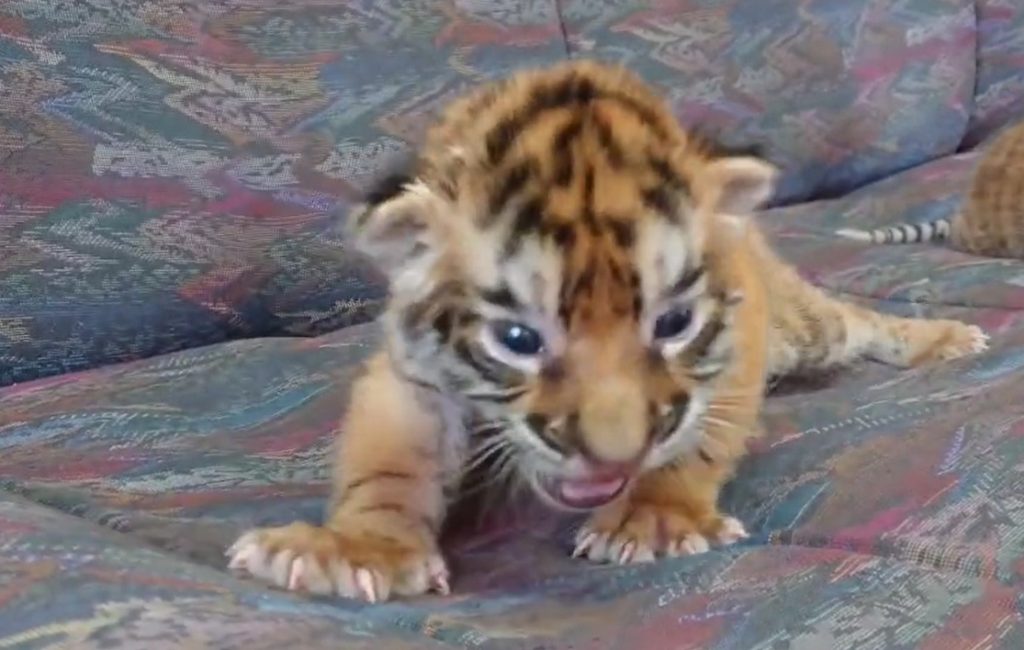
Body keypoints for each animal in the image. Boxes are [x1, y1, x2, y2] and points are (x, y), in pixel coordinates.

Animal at [226, 60, 988, 602]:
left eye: (673, 323)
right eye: (518, 340)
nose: (615, 458)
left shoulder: (734, 343)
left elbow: (696, 439)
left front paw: (654, 519)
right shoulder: (411, 374)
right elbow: (389, 467)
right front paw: (360, 552)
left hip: (805, 324)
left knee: (860, 321)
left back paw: (950, 338)